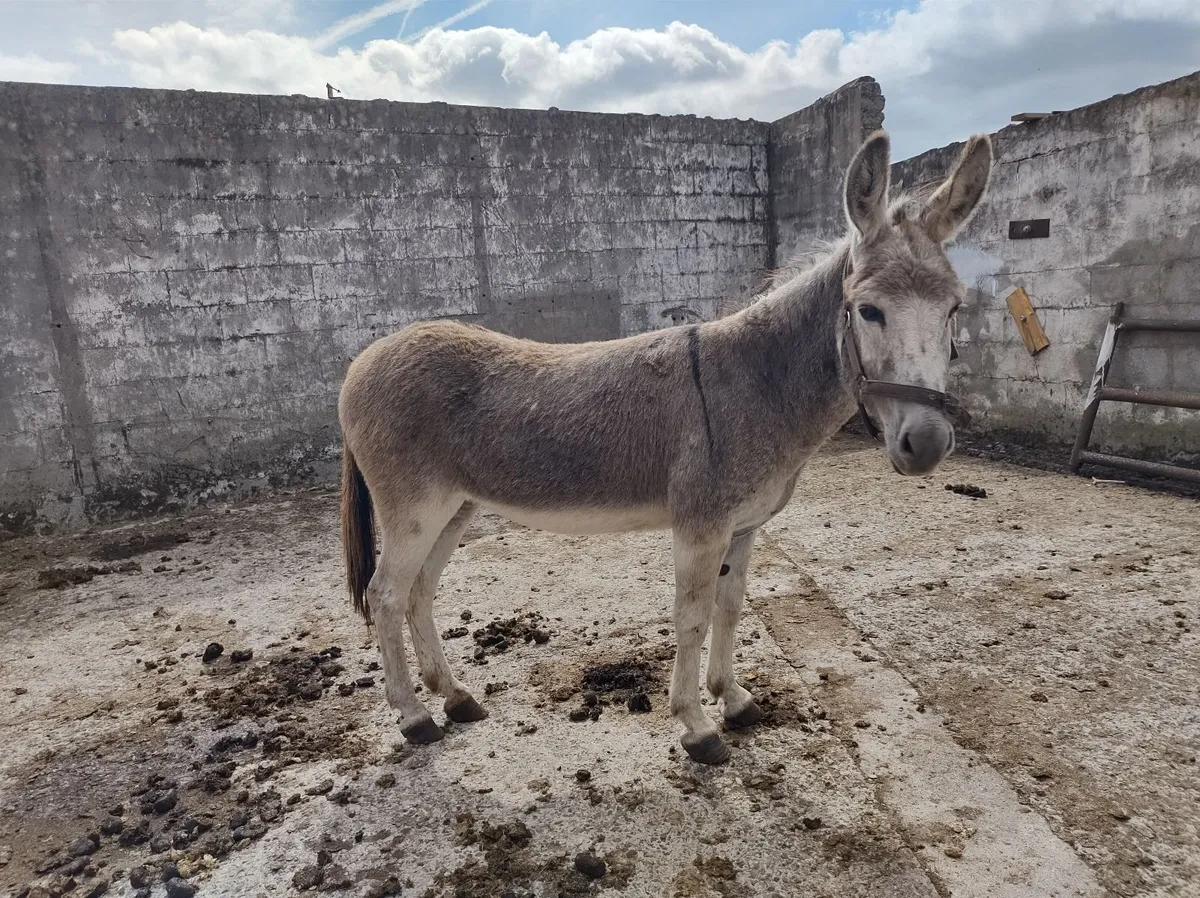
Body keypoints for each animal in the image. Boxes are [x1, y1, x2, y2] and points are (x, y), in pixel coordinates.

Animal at [338, 129, 993, 764]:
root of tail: (364, 358)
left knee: (420, 591)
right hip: (415, 508)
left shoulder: (745, 526)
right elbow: (692, 617)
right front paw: (697, 728)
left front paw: (734, 698)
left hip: (456, 507)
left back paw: (455, 696)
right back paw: (414, 716)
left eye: (954, 308)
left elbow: (732, 606)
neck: (758, 382)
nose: (928, 444)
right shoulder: (701, 526)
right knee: (385, 595)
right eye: (869, 310)